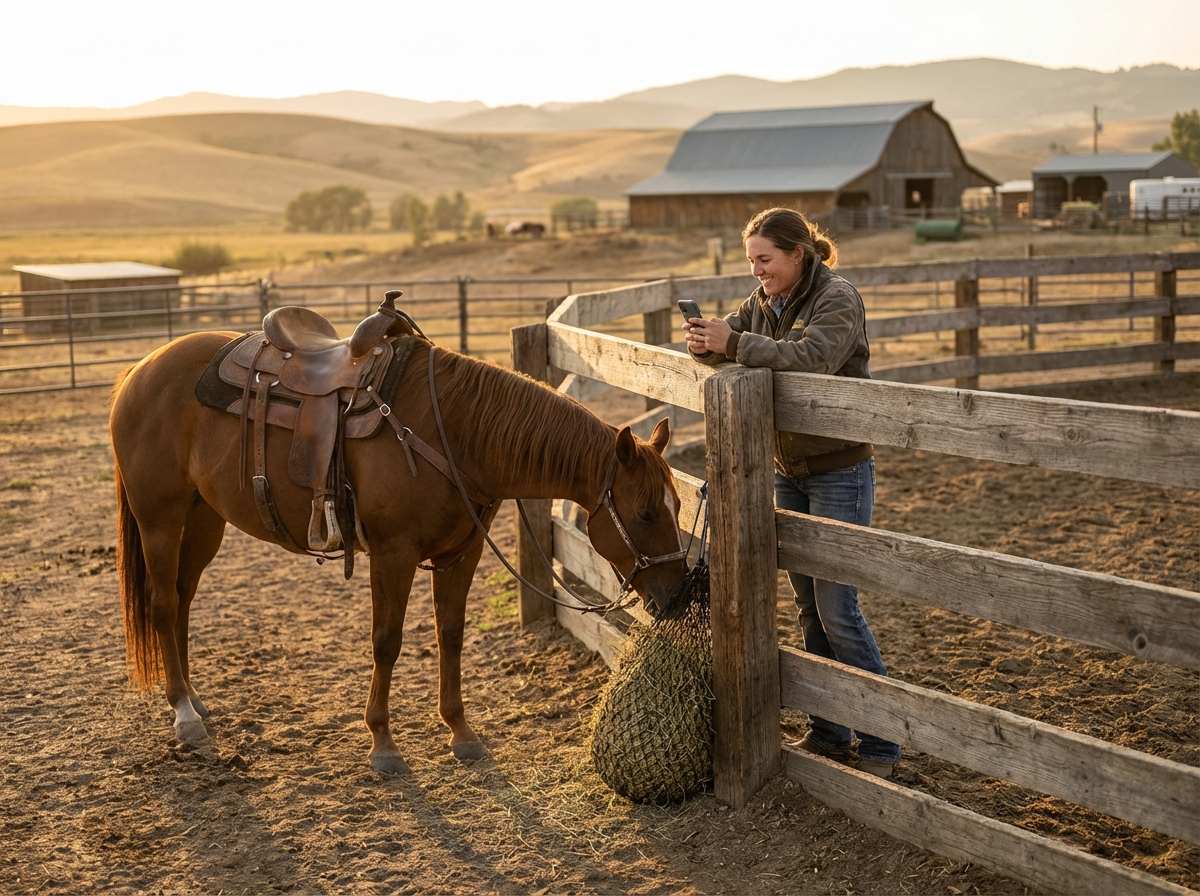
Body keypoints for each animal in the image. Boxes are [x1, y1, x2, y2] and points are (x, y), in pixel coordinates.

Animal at [110, 326, 688, 774]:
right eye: (646, 513)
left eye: (678, 504)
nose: (679, 595)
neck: (454, 430)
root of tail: (139, 371)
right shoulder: (393, 553)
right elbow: (386, 641)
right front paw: (383, 743)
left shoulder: (462, 552)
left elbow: (450, 634)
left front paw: (461, 733)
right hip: (159, 517)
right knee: (162, 604)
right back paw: (184, 714)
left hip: (203, 519)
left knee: (183, 600)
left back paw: (193, 699)